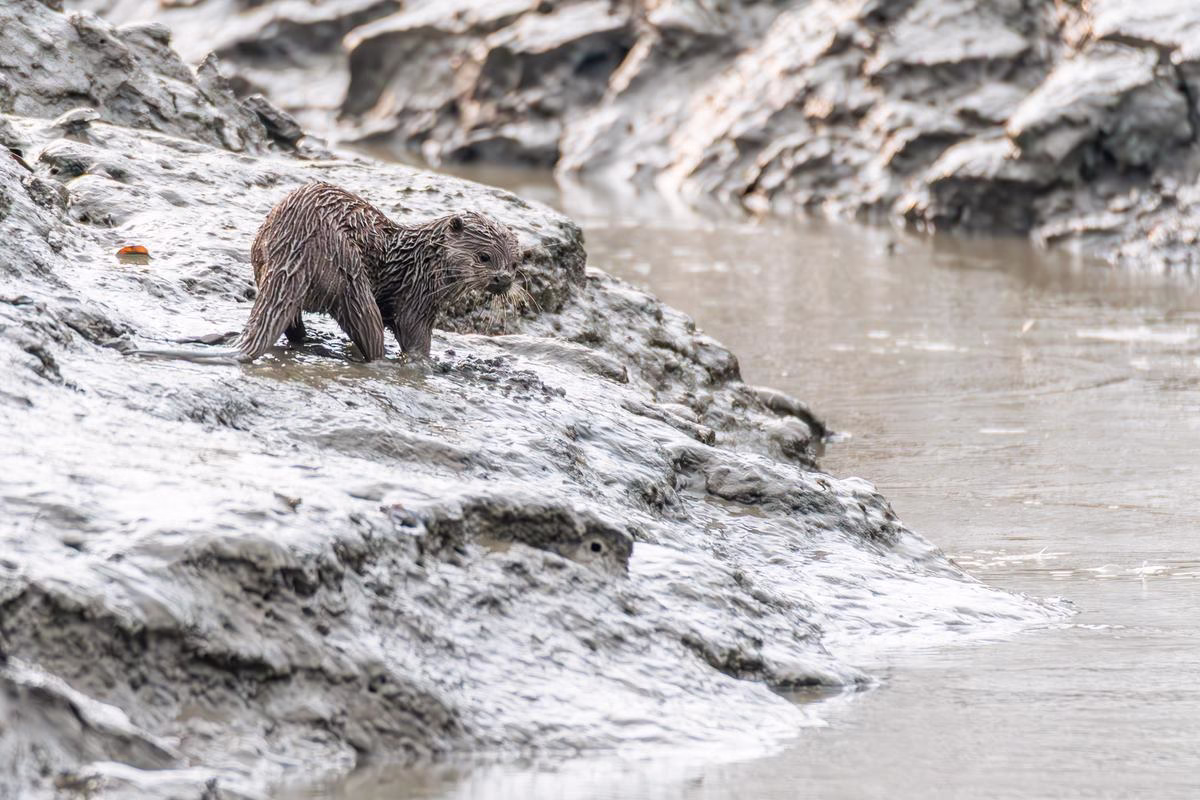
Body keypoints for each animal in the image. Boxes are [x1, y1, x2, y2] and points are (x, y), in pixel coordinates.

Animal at [131, 182, 526, 363]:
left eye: (514, 263)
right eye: (484, 257)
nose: (503, 279)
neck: (421, 261)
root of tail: (294, 244)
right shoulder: (416, 300)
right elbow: (415, 341)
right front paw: (424, 363)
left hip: (260, 260)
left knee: (290, 322)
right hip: (347, 274)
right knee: (366, 328)